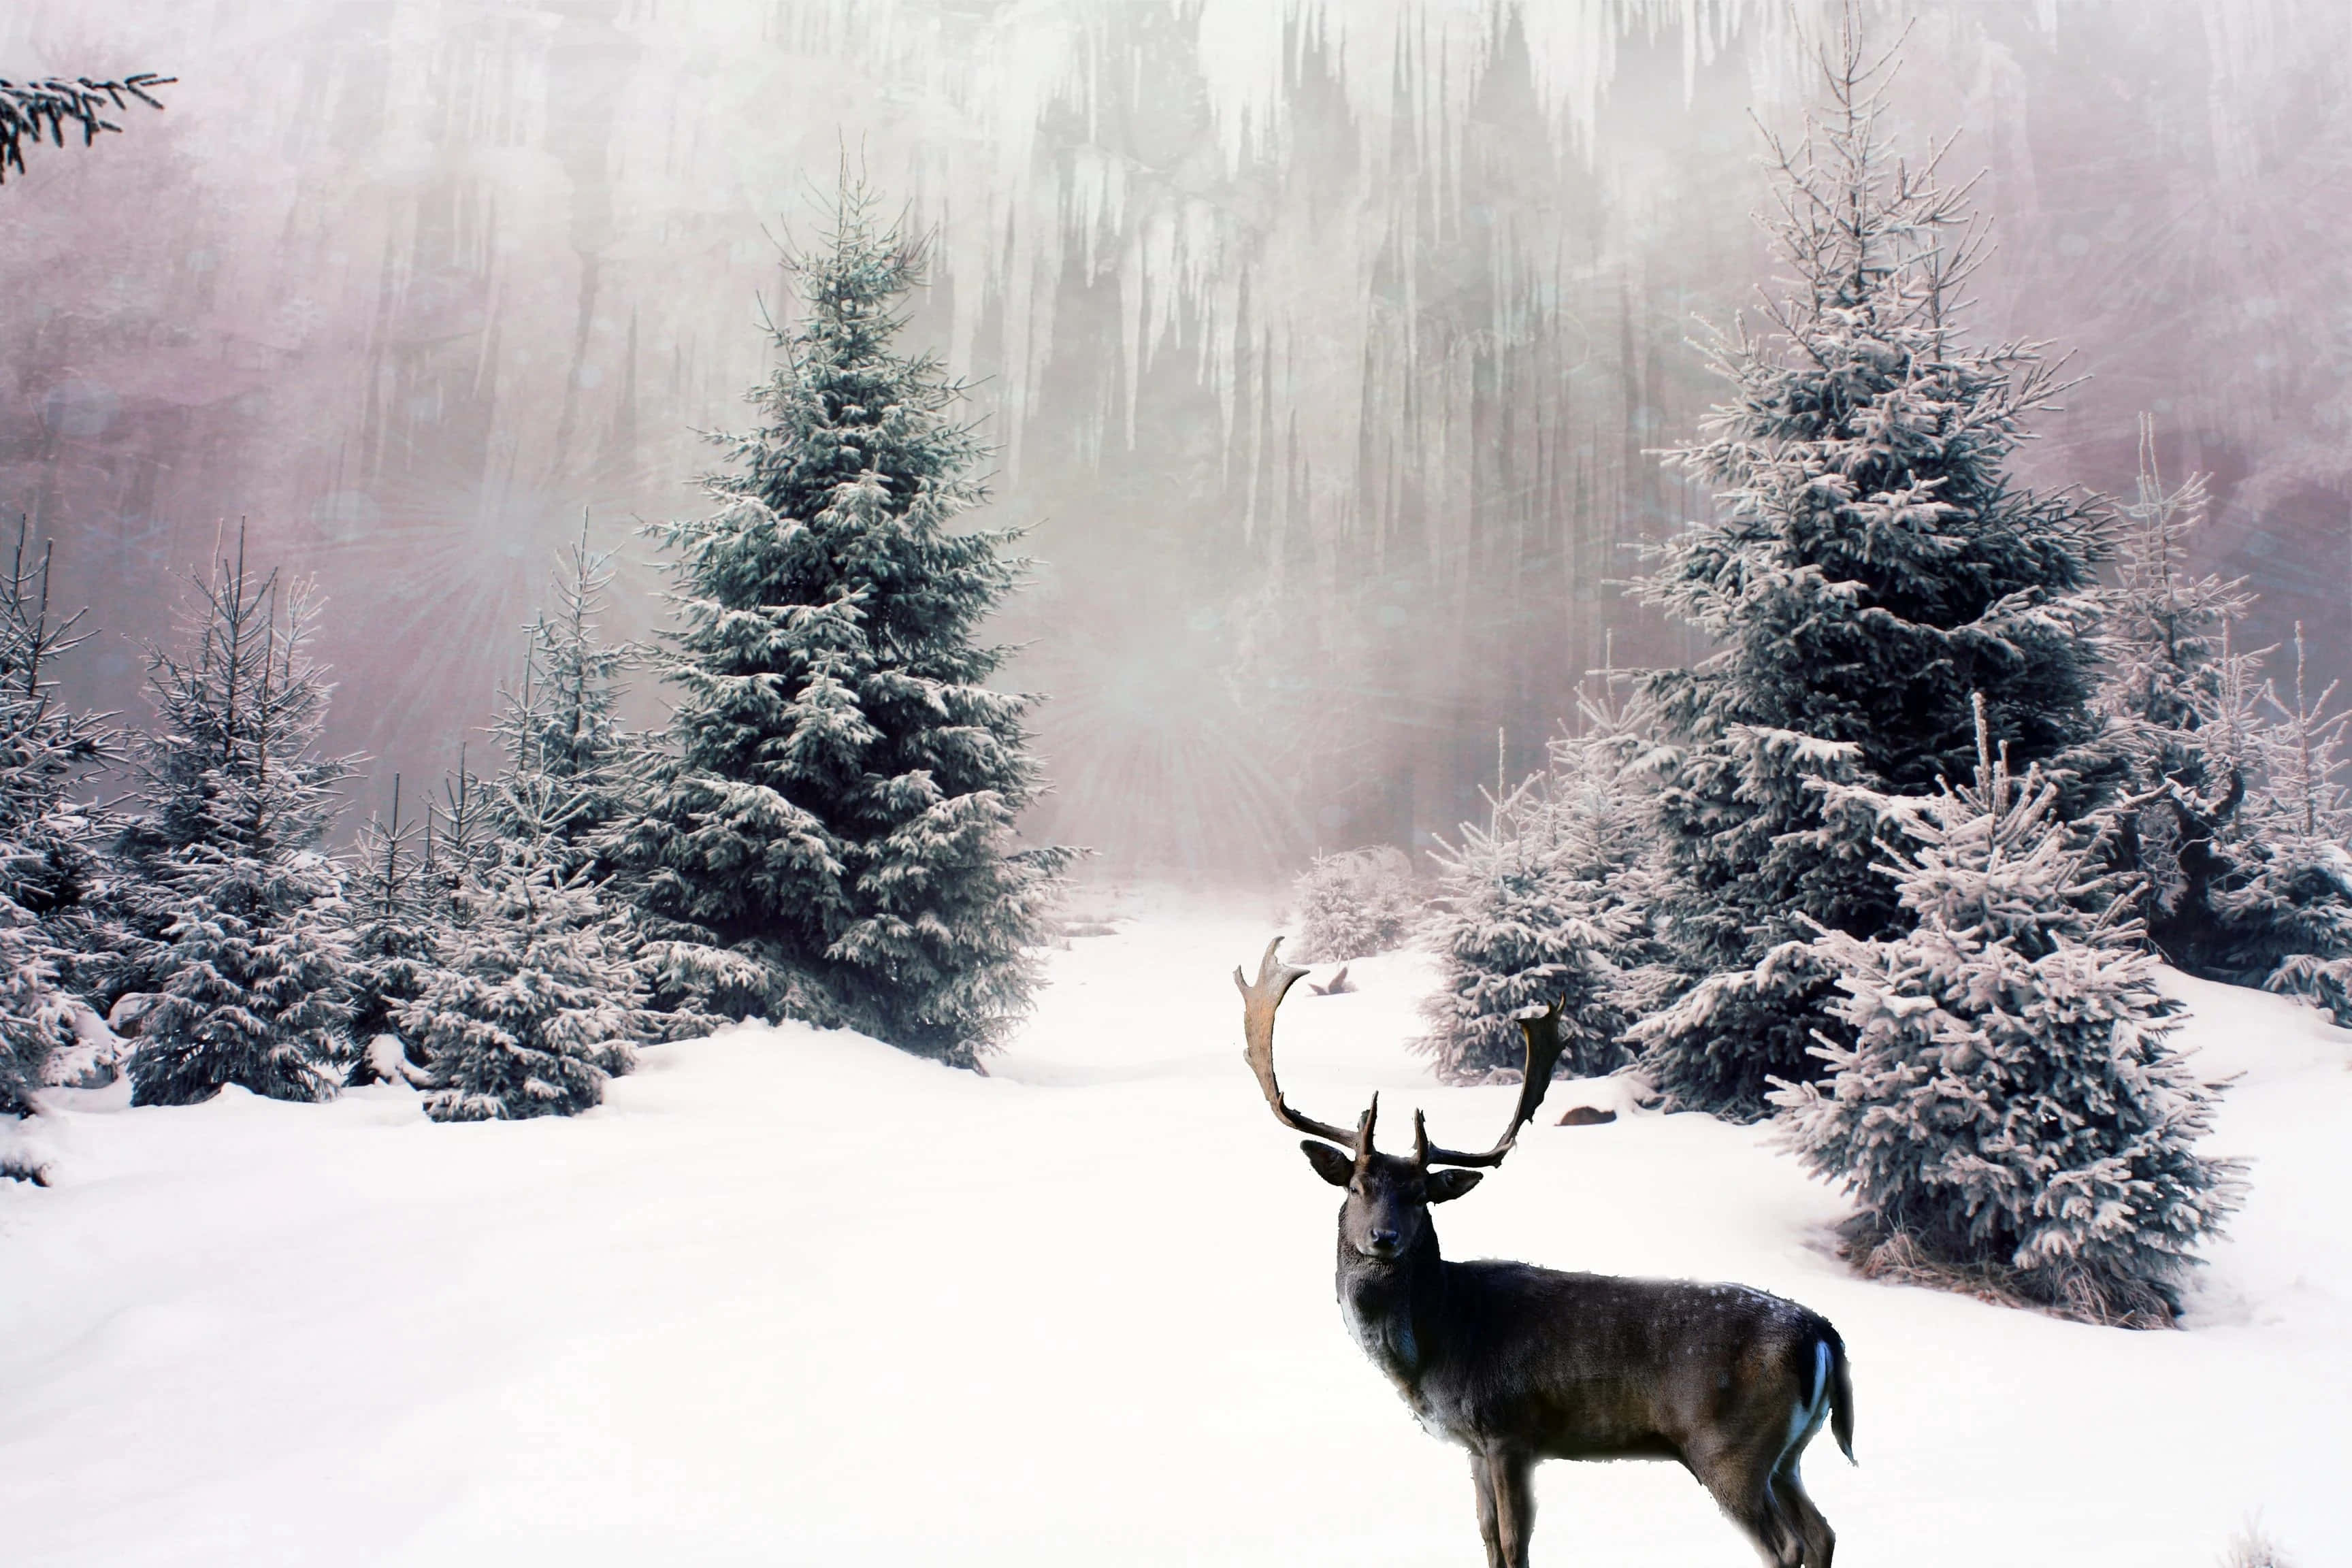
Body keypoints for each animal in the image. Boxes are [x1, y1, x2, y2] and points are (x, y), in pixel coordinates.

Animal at [1238, 938, 1854, 1567]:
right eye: (1357, 1187)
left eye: (1419, 1197)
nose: (1383, 1238)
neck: (1433, 1346)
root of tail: (1822, 1335)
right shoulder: (1473, 1445)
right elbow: (1487, 1538)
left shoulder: (1509, 1428)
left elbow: (1515, 1544)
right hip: (1787, 1454)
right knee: (1822, 1531)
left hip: (1728, 1445)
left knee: (1786, 1544)